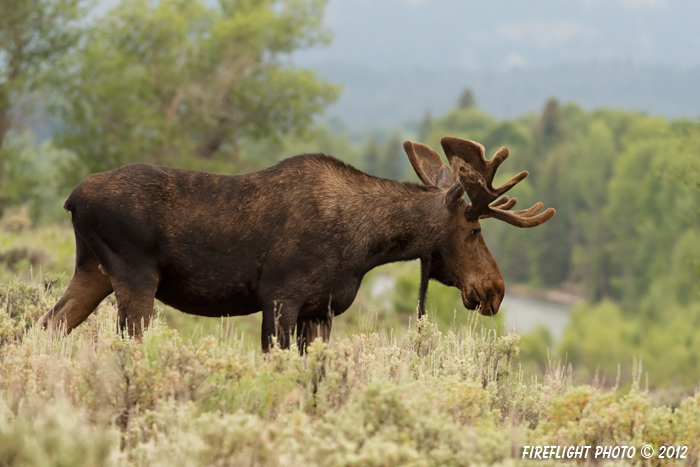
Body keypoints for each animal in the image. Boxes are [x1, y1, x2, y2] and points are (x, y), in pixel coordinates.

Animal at [38, 137, 556, 352]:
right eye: (474, 230)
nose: (494, 290)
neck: (368, 246)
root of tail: (72, 198)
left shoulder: (319, 310)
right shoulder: (280, 298)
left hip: (92, 271)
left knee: (48, 324)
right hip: (134, 276)